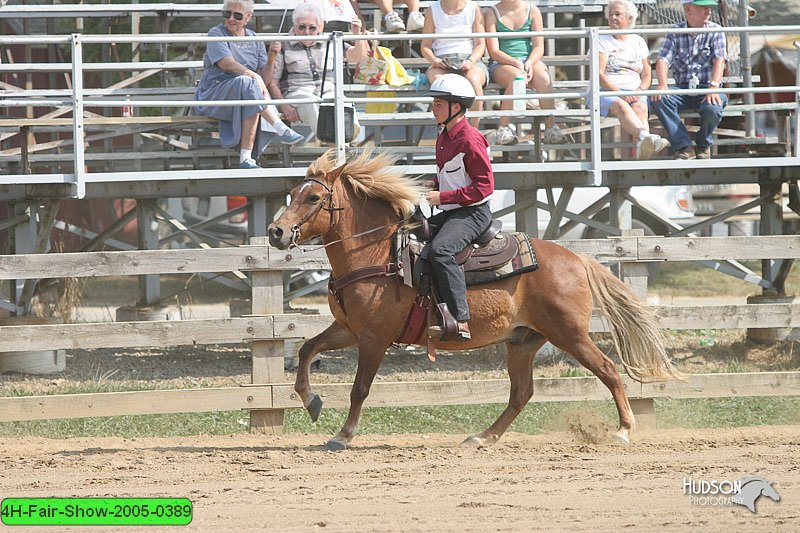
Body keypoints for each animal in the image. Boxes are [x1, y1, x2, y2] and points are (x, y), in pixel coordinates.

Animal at [268, 149, 680, 448]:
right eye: (292, 193)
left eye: (314, 197)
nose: (276, 231)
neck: (378, 254)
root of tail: (577, 258)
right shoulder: (349, 329)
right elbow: (306, 349)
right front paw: (311, 401)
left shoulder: (374, 337)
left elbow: (359, 389)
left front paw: (342, 435)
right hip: (522, 341)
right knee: (521, 393)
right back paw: (483, 437)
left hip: (570, 335)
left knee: (608, 370)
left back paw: (623, 430)